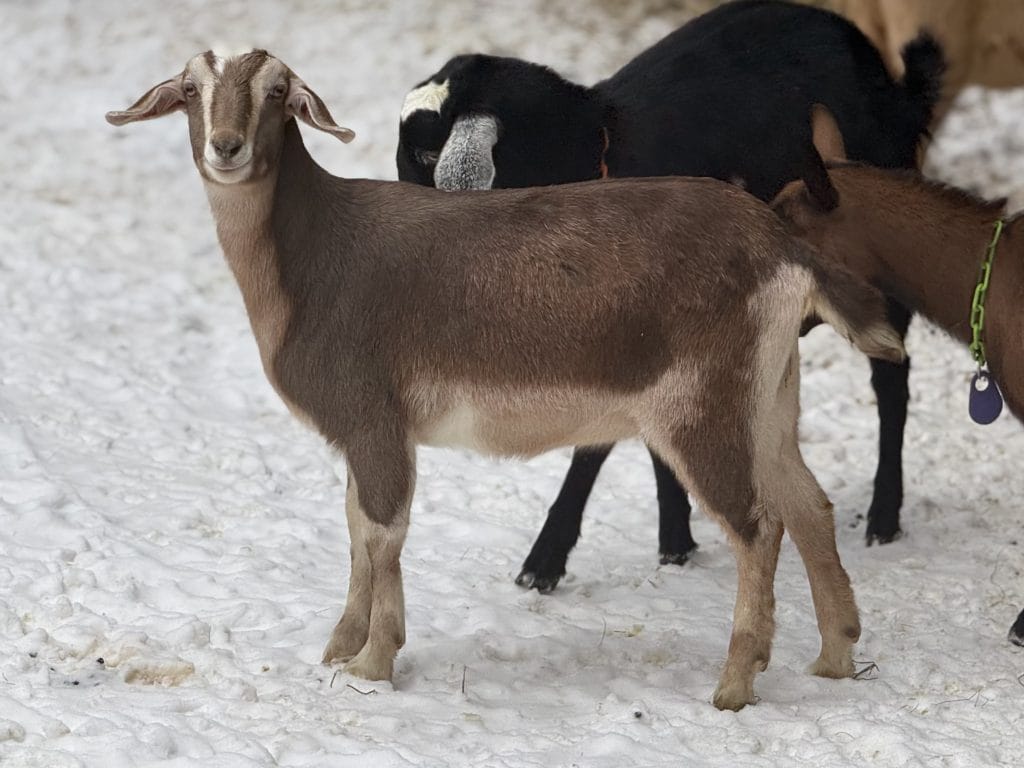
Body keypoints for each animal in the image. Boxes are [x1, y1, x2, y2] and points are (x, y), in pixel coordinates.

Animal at [106, 50, 906, 710]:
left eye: (276, 91)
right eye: (190, 90)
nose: (227, 147)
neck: (313, 255)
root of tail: (781, 248)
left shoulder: (375, 420)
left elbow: (382, 534)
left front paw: (372, 663)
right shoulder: (365, 434)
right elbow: (357, 529)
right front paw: (340, 647)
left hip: (700, 407)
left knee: (758, 525)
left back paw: (736, 684)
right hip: (767, 396)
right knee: (809, 505)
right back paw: (835, 657)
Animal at [398, 0, 945, 592]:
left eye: (425, 152)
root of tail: (890, 81)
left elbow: (594, 446)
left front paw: (544, 562)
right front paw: (675, 541)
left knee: (892, 381)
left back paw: (884, 516)